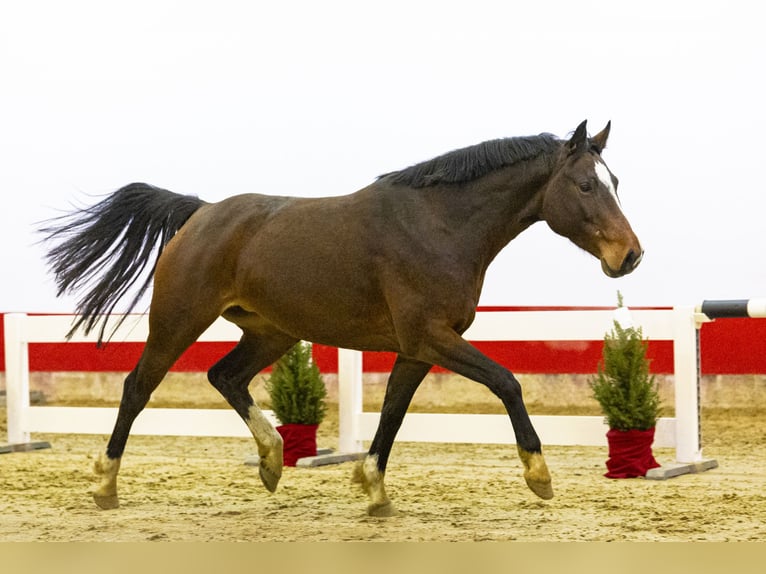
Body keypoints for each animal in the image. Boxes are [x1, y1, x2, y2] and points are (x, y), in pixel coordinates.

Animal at [40, 120, 642, 516]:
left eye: (616, 183)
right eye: (586, 184)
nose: (630, 256)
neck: (440, 226)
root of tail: (202, 212)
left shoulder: (418, 346)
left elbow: (393, 413)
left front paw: (373, 489)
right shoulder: (432, 337)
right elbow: (507, 381)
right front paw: (538, 475)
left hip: (271, 332)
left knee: (224, 376)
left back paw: (272, 461)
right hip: (178, 321)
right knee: (137, 387)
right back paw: (105, 486)